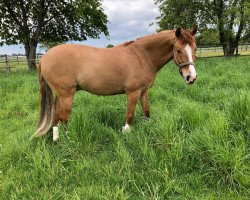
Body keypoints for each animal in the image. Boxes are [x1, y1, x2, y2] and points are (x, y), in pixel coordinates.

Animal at [31, 27, 197, 141]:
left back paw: (56, 138)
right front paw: (126, 132)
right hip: (67, 94)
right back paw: (69, 138)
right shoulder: (133, 92)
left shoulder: (143, 92)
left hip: (60, 94)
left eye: (195, 49)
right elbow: (130, 114)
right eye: (178, 50)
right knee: (64, 117)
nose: (191, 77)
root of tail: (45, 57)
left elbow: (146, 111)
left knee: (56, 116)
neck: (142, 56)